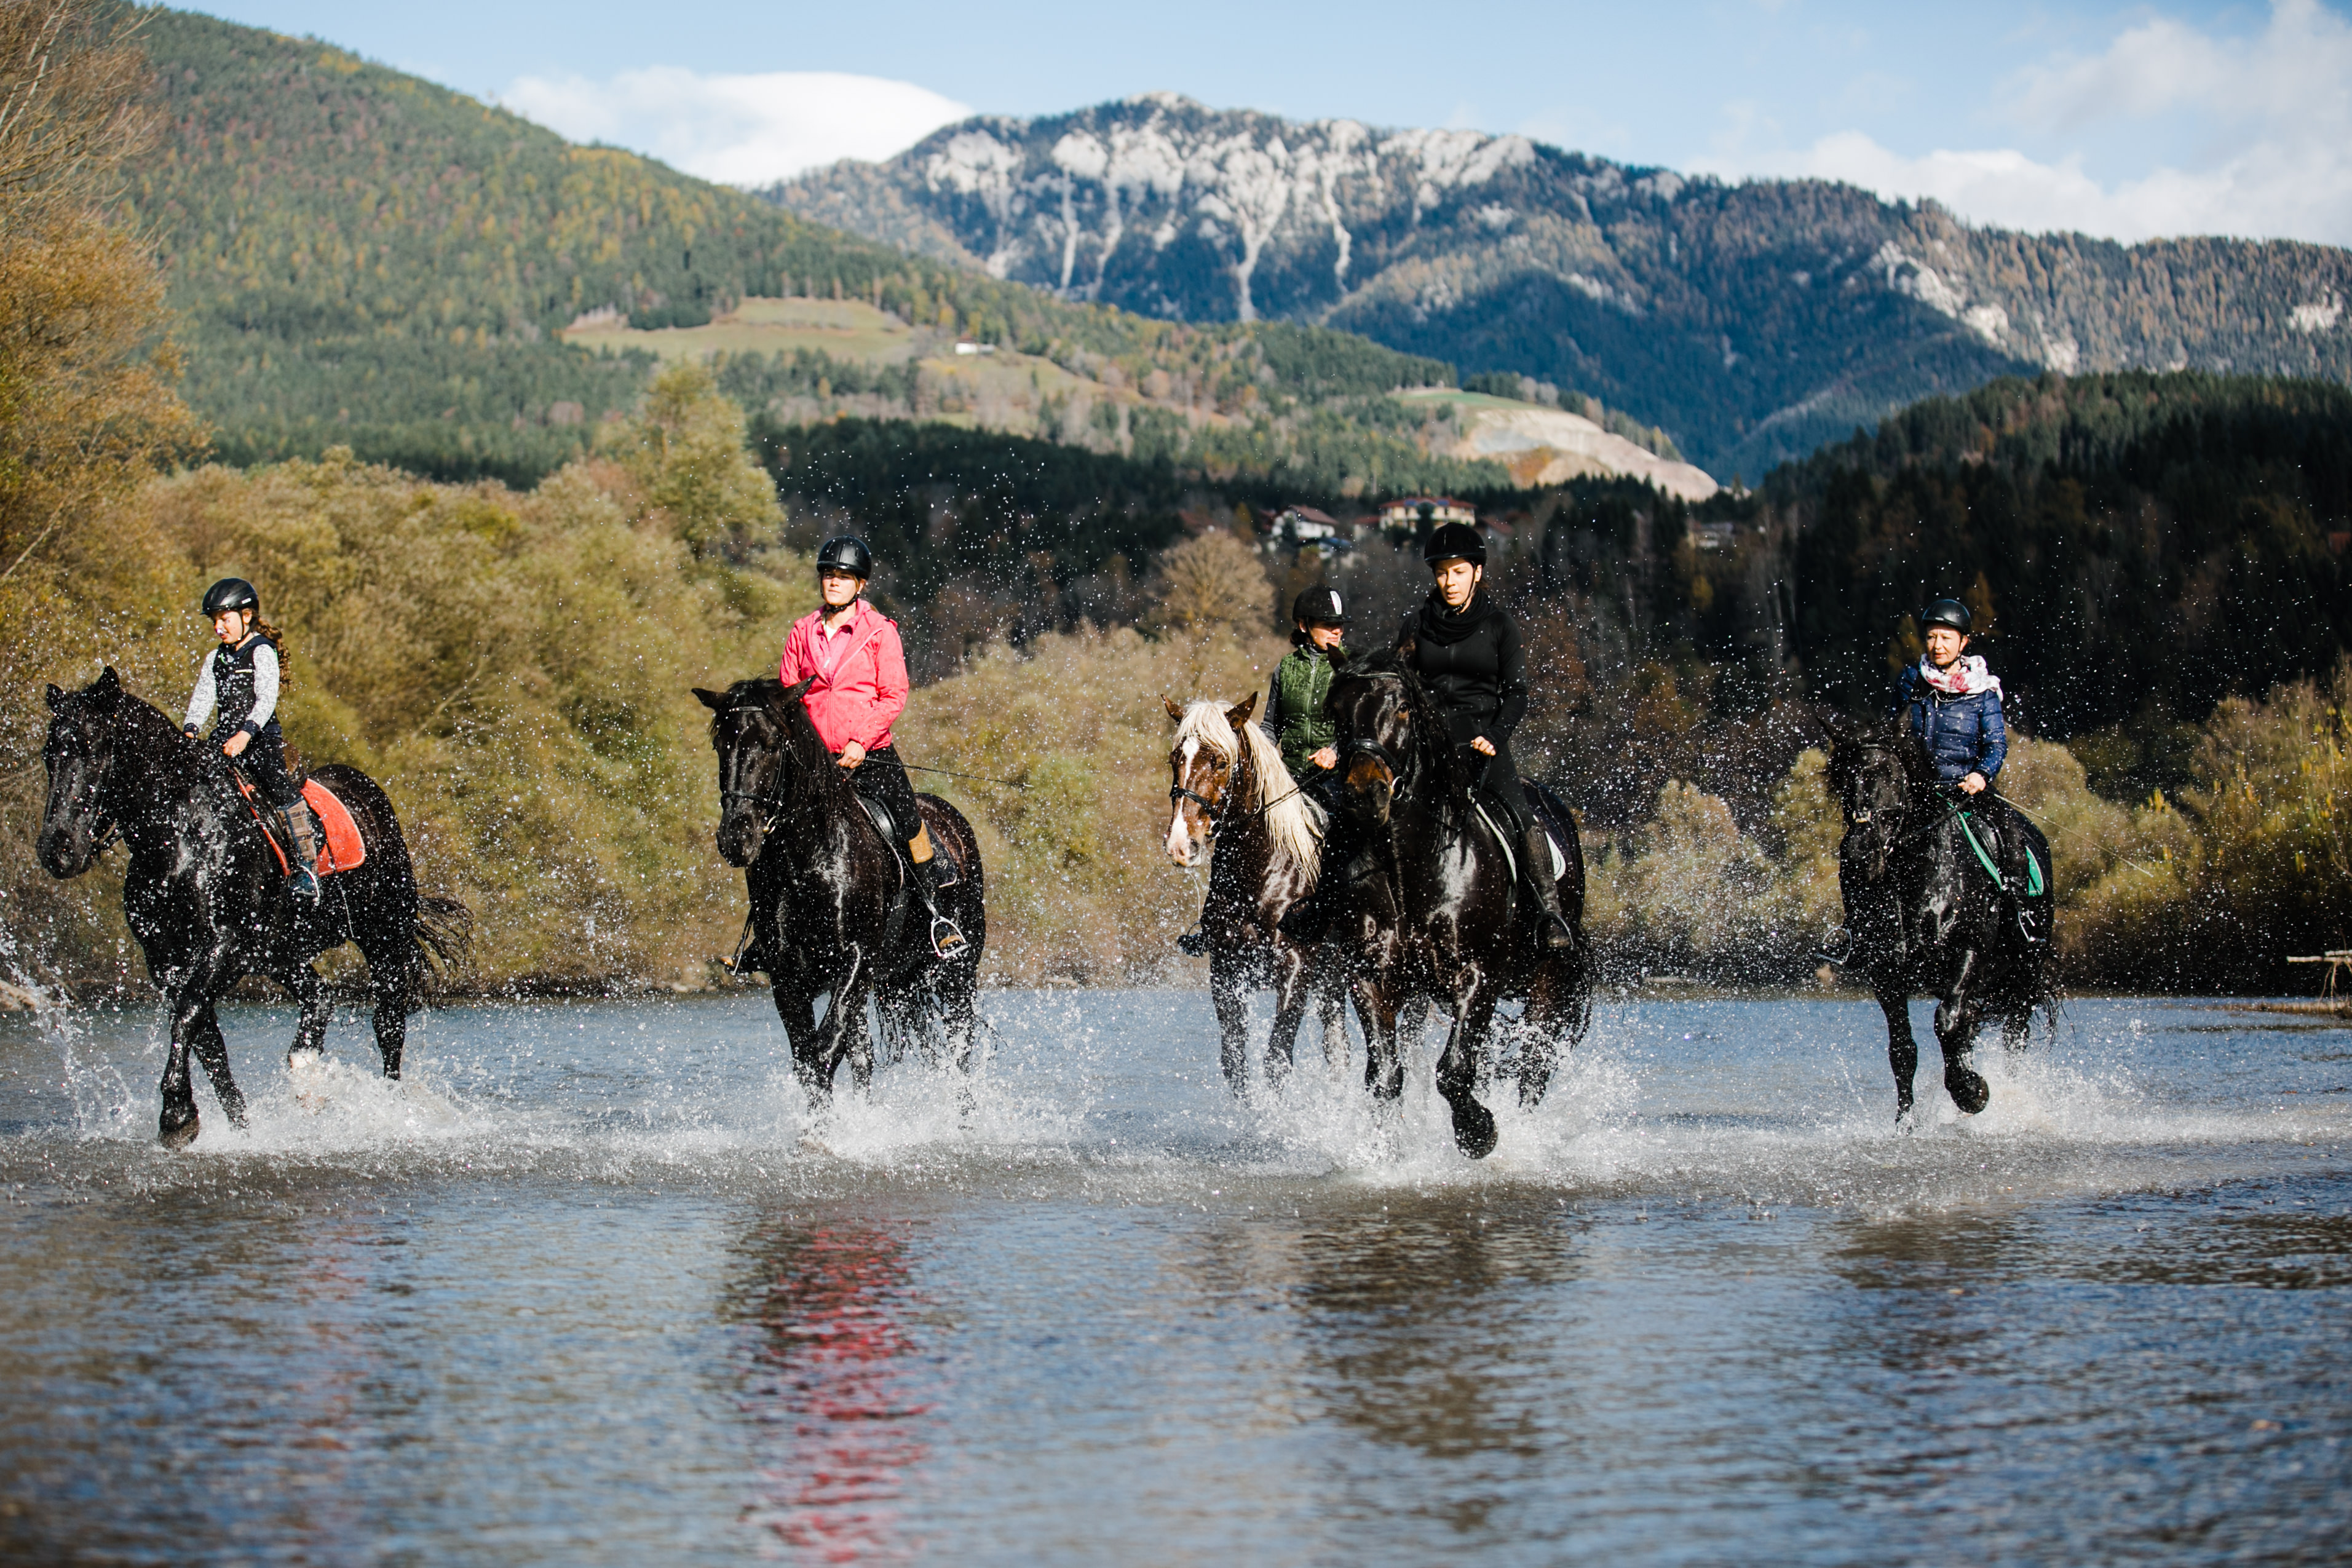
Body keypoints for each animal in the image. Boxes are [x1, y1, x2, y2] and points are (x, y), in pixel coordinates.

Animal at [38, 667, 472, 1147]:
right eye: (49, 755)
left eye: (95, 748)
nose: (57, 850)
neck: (181, 837)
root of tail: (369, 795)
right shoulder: (166, 960)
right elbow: (207, 1043)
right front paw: (232, 1125)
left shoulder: (227, 946)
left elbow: (189, 1015)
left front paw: (175, 1114)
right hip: (281, 951)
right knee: (320, 997)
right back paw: (307, 1076)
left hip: (383, 936)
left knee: (389, 1024)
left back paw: (390, 1109)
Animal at [686, 677, 983, 1104]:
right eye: (720, 745)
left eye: (772, 744)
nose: (736, 837)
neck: (808, 859)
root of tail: (952, 818)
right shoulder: (788, 974)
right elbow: (810, 1060)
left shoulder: (855, 958)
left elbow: (825, 1050)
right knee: (863, 1058)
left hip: (958, 971)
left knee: (961, 1048)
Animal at [1162, 700, 1355, 1090]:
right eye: (1176, 759)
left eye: (1221, 762)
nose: (1180, 846)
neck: (1260, 876)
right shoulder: (1226, 972)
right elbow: (1235, 1064)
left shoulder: (1295, 970)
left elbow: (1277, 1061)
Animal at [1336, 658, 1590, 1161]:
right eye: (1340, 708)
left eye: (1403, 711)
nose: (1365, 793)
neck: (1413, 863)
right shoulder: (1372, 977)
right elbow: (1385, 1075)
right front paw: (1386, 1157)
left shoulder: (1477, 974)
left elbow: (1453, 1071)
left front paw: (1479, 1133)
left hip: (1549, 978)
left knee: (1533, 1065)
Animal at [1815, 705, 2060, 1123]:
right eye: (1844, 781)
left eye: (1891, 776)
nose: (1861, 855)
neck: (1918, 878)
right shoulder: (1886, 972)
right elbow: (1903, 1050)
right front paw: (1906, 1125)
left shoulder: (1968, 950)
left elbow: (1947, 1022)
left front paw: (1972, 1093)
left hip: (2024, 974)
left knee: (2013, 1036)